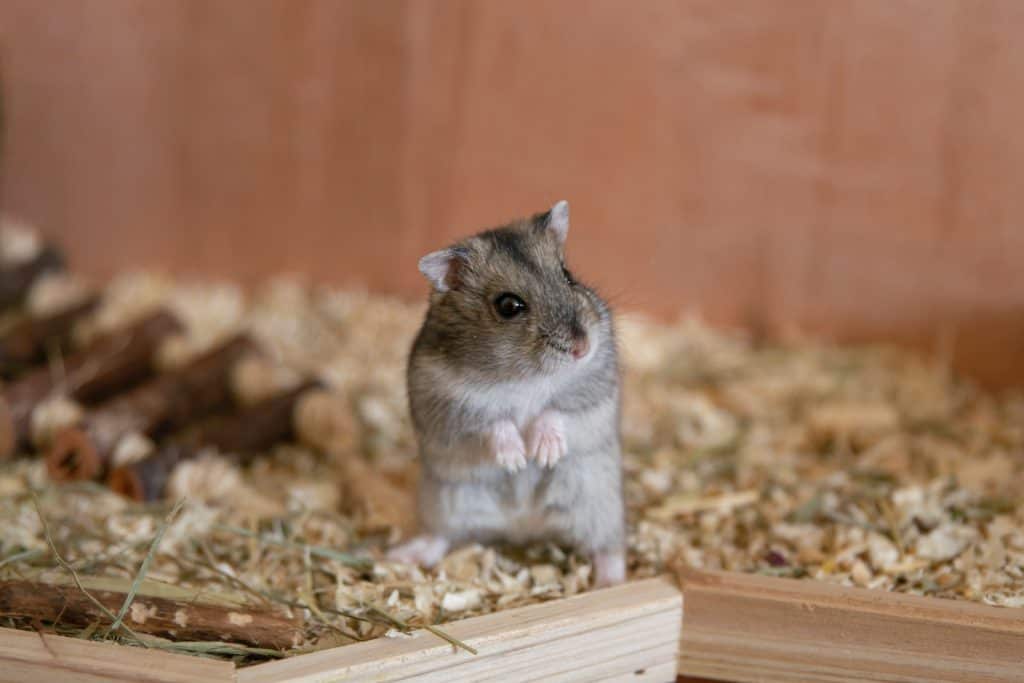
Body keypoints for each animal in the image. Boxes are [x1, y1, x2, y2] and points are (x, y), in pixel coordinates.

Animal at [389, 198, 622, 589]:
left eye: (567, 275)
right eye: (509, 306)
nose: (582, 347)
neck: (525, 376)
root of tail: (523, 527)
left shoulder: (594, 385)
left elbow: (556, 410)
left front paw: (542, 454)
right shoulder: (448, 402)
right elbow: (493, 422)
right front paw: (516, 459)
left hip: (598, 502)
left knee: (608, 547)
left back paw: (611, 582)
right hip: (446, 501)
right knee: (441, 535)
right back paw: (402, 556)